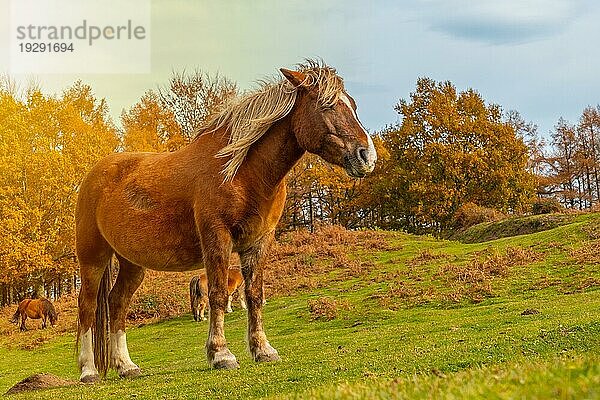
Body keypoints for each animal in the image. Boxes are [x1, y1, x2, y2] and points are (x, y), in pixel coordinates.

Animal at [74, 59, 376, 382]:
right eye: (327, 105)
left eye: (352, 104)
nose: (366, 156)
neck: (242, 172)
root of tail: (94, 175)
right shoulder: (217, 238)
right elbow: (218, 294)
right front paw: (221, 354)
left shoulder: (259, 242)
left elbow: (254, 295)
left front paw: (263, 350)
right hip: (93, 258)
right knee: (88, 306)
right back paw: (88, 371)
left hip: (132, 264)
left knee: (117, 304)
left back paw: (126, 366)